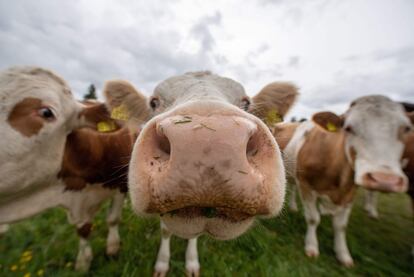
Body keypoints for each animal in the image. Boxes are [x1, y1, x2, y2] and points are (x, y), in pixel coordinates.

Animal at [0, 66, 133, 270]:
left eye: (46, 112)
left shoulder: (120, 184)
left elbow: (112, 219)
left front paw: (112, 249)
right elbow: (83, 229)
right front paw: (83, 263)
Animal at [103, 72, 298, 274]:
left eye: (246, 102)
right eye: (154, 102)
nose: (206, 141)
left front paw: (191, 263)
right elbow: (165, 231)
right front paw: (162, 263)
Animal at [274, 94, 414, 266]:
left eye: (406, 129)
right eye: (348, 128)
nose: (385, 179)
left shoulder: (350, 193)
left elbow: (340, 226)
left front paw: (343, 254)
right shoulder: (306, 185)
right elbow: (313, 218)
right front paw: (312, 247)